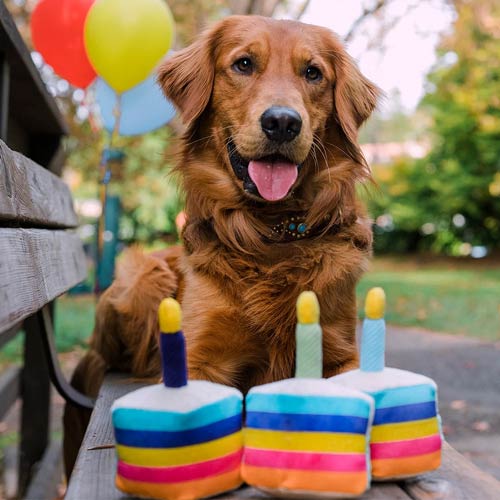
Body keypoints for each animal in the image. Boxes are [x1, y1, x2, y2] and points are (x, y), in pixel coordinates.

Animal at [65, 14, 378, 476]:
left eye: (313, 73)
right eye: (244, 64)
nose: (282, 122)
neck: (271, 234)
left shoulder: (340, 353)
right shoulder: (199, 360)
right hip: (144, 277)